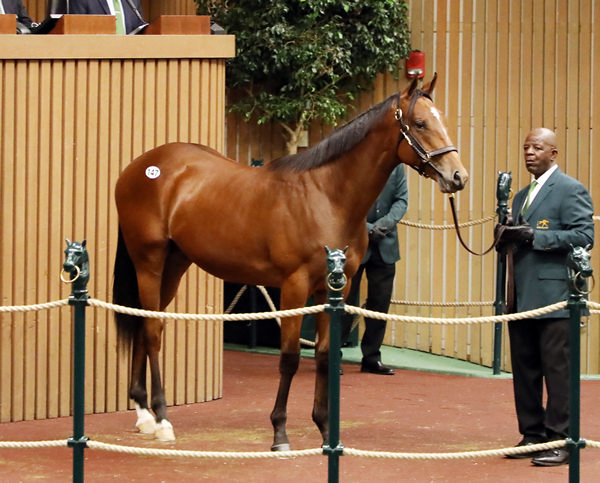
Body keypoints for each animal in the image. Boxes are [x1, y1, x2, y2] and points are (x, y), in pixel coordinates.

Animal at [112, 75, 468, 450]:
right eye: (420, 123)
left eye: (442, 120)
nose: (458, 176)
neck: (327, 197)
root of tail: (138, 168)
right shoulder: (294, 288)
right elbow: (290, 358)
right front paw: (280, 433)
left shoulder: (333, 289)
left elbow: (325, 355)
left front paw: (325, 431)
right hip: (149, 262)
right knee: (152, 331)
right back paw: (163, 420)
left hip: (174, 265)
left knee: (142, 321)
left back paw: (144, 414)